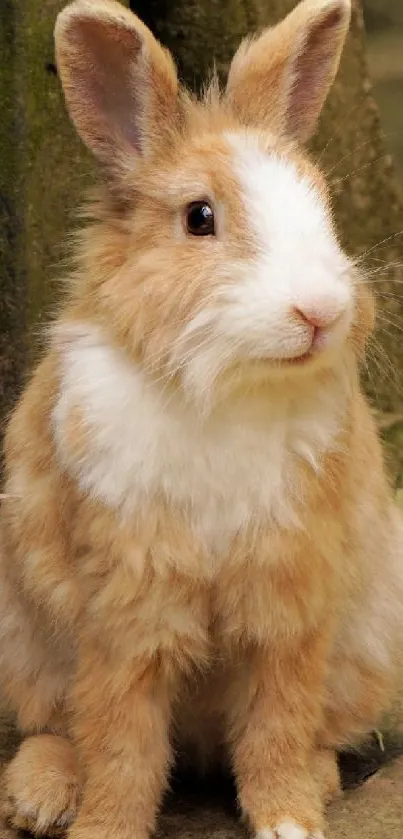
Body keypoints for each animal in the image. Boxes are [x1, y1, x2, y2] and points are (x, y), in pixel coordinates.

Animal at [0, 0, 403, 836]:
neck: (226, 386)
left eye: (322, 204)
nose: (319, 311)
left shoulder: (289, 592)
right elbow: (119, 733)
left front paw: (287, 819)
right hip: (23, 639)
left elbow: (278, 718)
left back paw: (318, 779)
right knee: (55, 725)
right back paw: (39, 794)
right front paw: (104, 827)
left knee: (316, 727)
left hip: (370, 640)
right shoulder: (126, 598)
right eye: (199, 218)